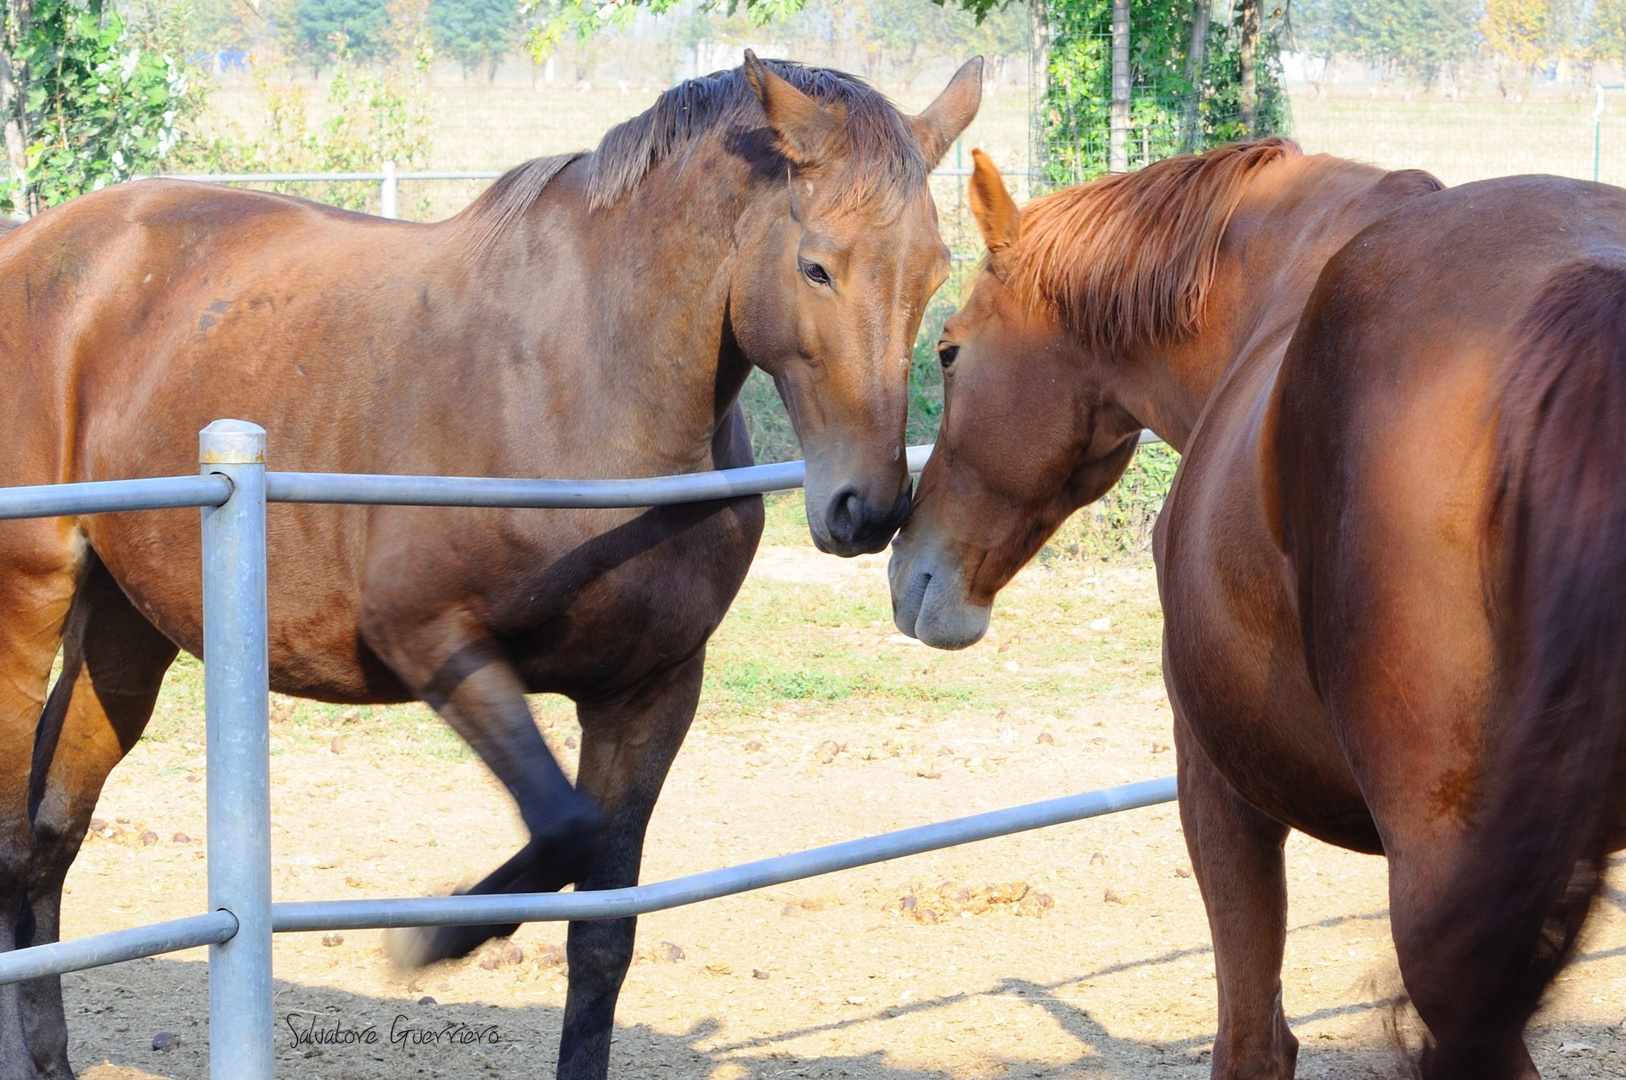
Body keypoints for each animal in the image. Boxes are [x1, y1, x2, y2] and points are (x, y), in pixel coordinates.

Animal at [0, 56, 982, 1080]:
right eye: (815, 266)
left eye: (936, 271)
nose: (867, 508)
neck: (580, 384)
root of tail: (37, 245)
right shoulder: (434, 642)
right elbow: (564, 828)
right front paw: (428, 939)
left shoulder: (651, 692)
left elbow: (603, 929)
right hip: (28, 601)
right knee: (13, 843)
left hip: (127, 630)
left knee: (52, 834)